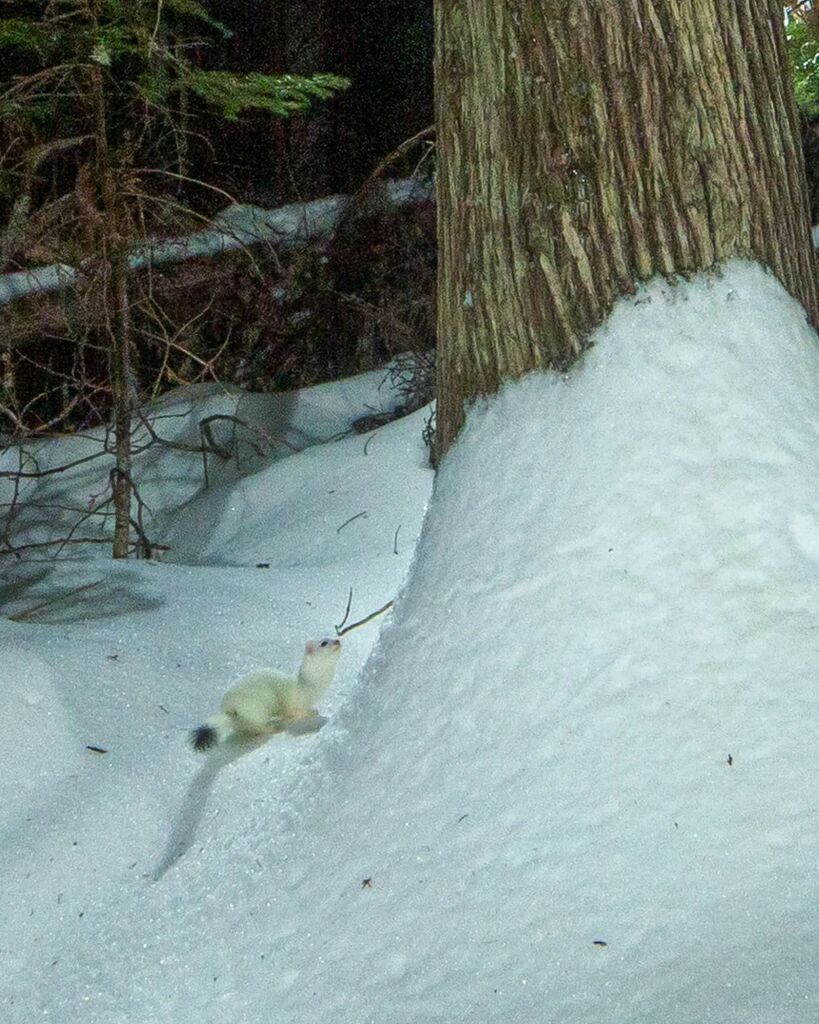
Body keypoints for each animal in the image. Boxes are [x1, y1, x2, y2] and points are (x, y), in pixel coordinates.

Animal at [190, 634, 339, 749]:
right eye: (324, 642)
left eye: (331, 636)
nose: (338, 641)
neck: (312, 687)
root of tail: (229, 708)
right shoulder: (296, 702)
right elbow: (296, 712)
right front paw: (312, 713)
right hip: (257, 707)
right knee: (258, 727)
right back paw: (273, 728)